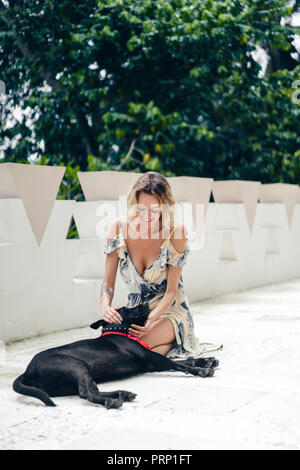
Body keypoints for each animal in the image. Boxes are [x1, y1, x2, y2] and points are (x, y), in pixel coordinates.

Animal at [12, 302, 219, 408]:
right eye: (127, 309)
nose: (145, 302)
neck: (121, 330)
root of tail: (27, 371)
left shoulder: (151, 362)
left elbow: (186, 359)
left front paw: (207, 360)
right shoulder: (153, 359)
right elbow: (179, 364)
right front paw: (201, 370)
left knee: (91, 390)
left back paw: (122, 394)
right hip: (77, 366)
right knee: (86, 393)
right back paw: (112, 400)